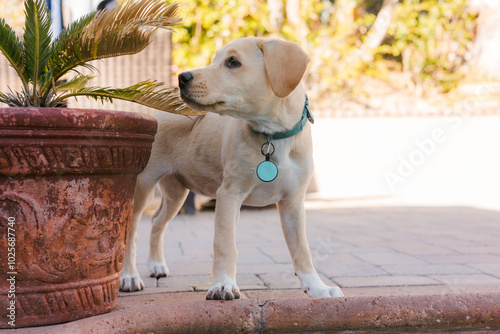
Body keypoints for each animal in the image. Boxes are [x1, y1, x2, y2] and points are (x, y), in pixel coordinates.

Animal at [120, 37, 344, 300]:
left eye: (233, 62)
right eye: (215, 59)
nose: (182, 78)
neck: (272, 136)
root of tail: (158, 113)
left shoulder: (293, 202)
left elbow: (302, 249)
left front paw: (317, 287)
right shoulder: (229, 194)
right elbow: (225, 244)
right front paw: (223, 285)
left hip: (177, 191)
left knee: (156, 221)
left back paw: (156, 265)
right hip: (143, 184)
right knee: (131, 231)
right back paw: (129, 276)